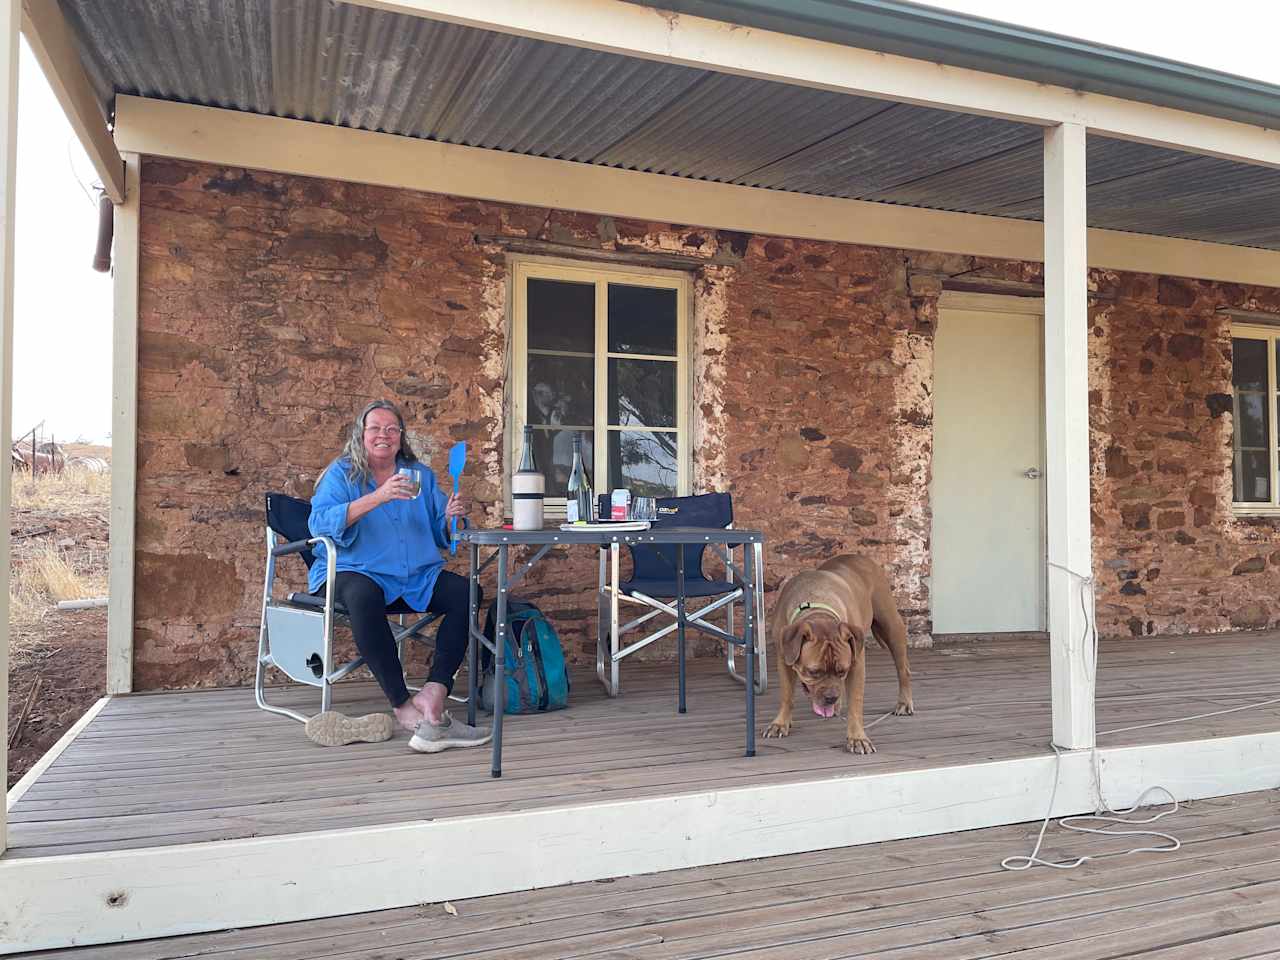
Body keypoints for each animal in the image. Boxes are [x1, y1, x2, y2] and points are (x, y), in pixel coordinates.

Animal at [762, 560, 916, 757]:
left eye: (843, 671)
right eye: (813, 672)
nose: (831, 698)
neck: (817, 607)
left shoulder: (856, 665)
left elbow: (855, 702)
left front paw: (858, 738)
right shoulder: (783, 658)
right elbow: (787, 695)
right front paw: (780, 723)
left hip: (892, 627)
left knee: (903, 669)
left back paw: (904, 703)